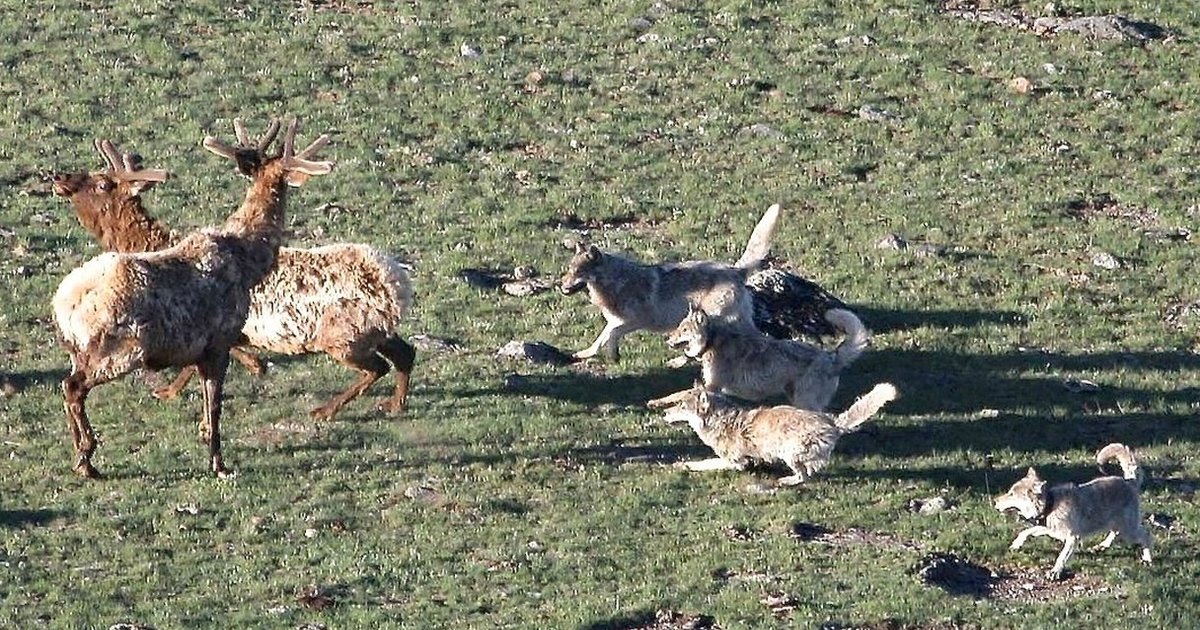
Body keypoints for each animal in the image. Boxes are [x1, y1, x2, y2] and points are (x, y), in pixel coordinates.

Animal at [559, 204, 780, 361]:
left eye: (577, 272)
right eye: (569, 269)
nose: (561, 286)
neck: (615, 282)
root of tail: (736, 270)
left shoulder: (636, 322)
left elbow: (611, 335)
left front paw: (613, 355)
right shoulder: (614, 321)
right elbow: (600, 340)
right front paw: (590, 354)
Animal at [647, 305, 868, 411]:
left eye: (683, 330)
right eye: (678, 327)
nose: (667, 339)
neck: (712, 342)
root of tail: (832, 356)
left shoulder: (711, 387)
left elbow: (680, 394)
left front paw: (659, 403)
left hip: (804, 400)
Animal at [659, 381, 897, 486]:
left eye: (681, 406)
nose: (664, 413)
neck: (721, 419)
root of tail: (832, 421)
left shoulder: (734, 462)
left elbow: (703, 463)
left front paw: (683, 465)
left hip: (790, 452)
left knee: (804, 475)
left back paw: (787, 480)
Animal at [994, 443, 1152, 580]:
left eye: (1012, 494)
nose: (995, 501)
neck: (1051, 505)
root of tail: (1129, 482)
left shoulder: (1072, 538)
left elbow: (1061, 557)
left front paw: (1055, 572)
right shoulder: (1049, 529)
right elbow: (1026, 532)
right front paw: (1016, 544)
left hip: (1129, 530)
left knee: (1146, 536)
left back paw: (1148, 559)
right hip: (1115, 523)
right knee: (1115, 532)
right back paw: (1102, 546)